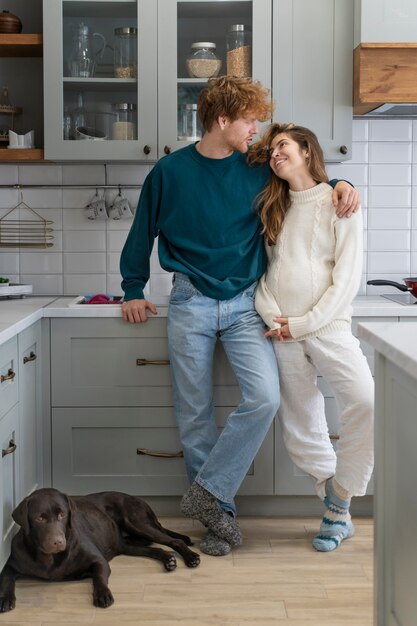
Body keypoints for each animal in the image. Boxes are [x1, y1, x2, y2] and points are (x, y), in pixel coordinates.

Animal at [0, 486, 200, 608]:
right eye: (39, 518)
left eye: (62, 515)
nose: (58, 542)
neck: (50, 559)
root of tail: (134, 496)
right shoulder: (10, 565)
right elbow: (7, 580)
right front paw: (5, 599)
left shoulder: (99, 561)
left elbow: (99, 578)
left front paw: (103, 595)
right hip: (127, 545)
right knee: (156, 549)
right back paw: (169, 560)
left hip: (137, 522)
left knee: (174, 541)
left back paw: (191, 558)